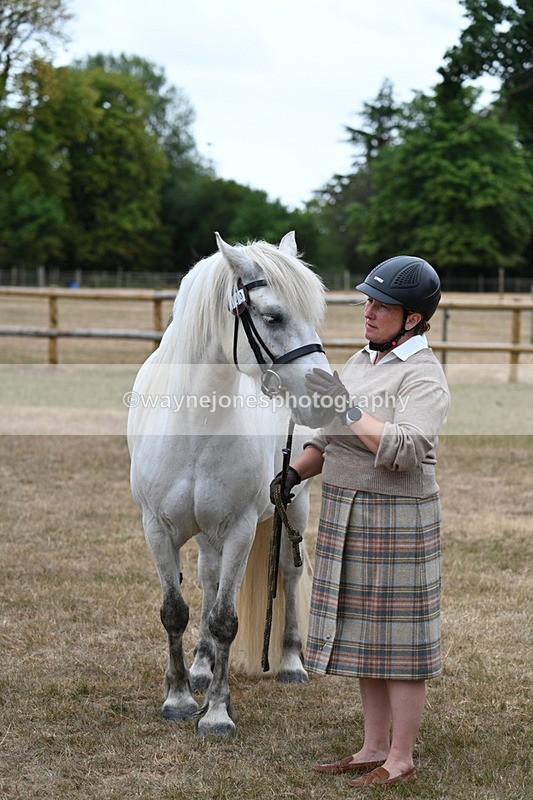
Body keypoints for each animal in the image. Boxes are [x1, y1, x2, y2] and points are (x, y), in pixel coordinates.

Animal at [127, 231, 331, 735]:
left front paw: (217, 712)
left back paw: (291, 663)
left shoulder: (239, 528)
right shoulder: (156, 529)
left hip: (293, 507)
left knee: (289, 575)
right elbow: (175, 611)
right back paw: (201, 666)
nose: (327, 395)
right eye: (273, 316)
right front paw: (180, 697)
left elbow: (225, 619)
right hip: (207, 533)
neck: (193, 423)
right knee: (208, 575)